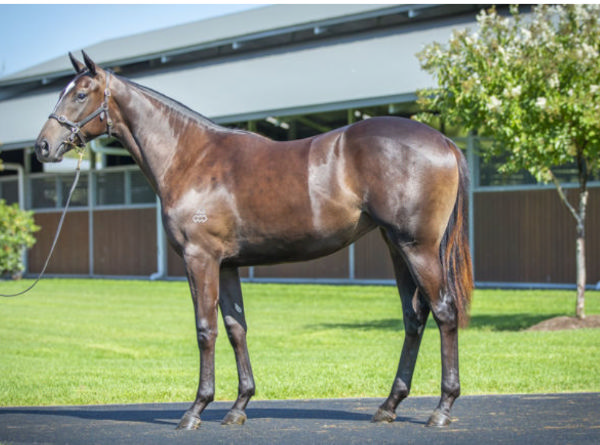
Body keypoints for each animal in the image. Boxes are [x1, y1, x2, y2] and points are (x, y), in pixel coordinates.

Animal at [35, 53, 474, 430]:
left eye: (79, 94)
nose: (43, 146)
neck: (190, 158)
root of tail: (445, 142)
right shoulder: (227, 264)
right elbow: (235, 329)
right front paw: (239, 405)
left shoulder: (200, 259)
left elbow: (205, 330)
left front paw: (196, 409)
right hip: (396, 247)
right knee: (414, 317)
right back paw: (389, 405)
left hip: (417, 248)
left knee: (444, 312)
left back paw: (442, 408)